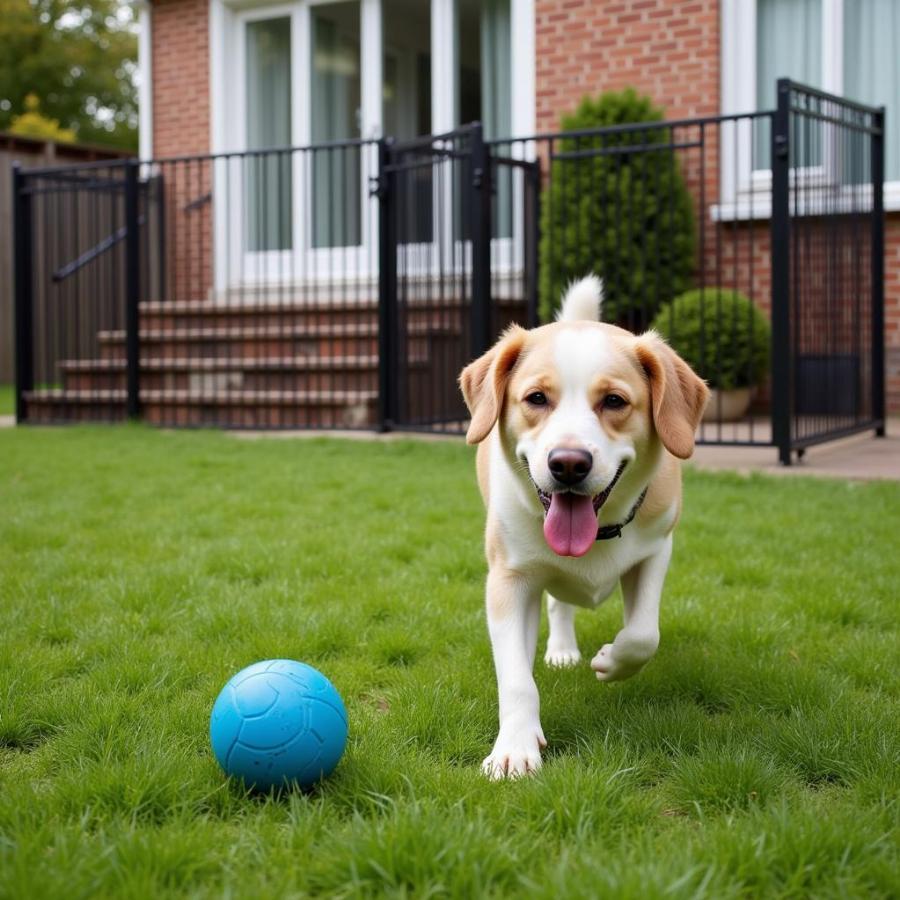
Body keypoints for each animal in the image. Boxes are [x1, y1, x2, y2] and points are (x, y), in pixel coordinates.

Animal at [460, 278, 708, 776]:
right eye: (537, 399)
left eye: (614, 401)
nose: (569, 464)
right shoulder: (509, 579)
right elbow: (516, 677)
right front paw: (515, 747)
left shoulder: (657, 550)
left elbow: (643, 634)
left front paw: (612, 661)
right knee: (556, 604)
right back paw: (559, 650)